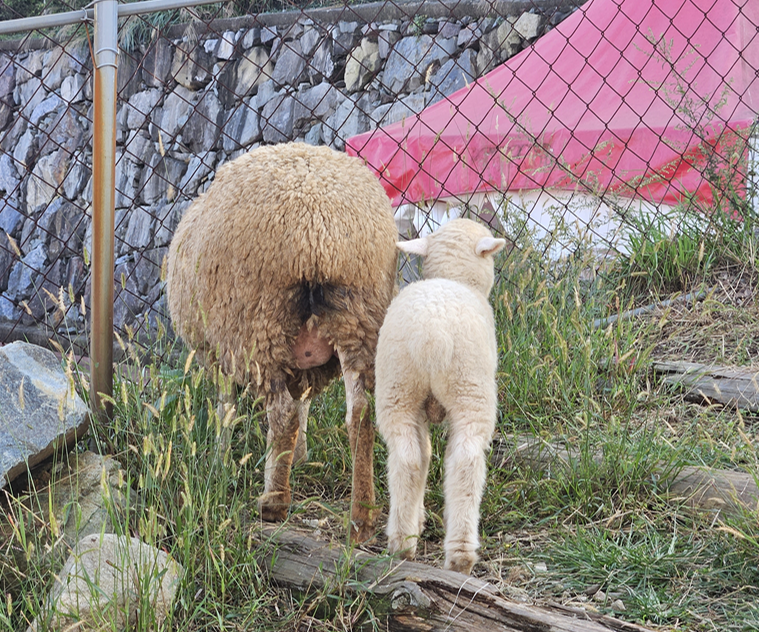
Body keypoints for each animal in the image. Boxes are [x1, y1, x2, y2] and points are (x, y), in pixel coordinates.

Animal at [168, 143, 398, 544]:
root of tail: (319, 229)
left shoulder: (220, 351)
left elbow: (226, 408)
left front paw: (219, 461)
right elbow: (304, 401)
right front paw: (301, 456)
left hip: (258, 323)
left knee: (282, 413)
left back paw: (273, 503)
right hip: (358, 317)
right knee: (360, 413)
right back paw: (362, 518)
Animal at [374, 216, 504, 572]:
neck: (453, 277)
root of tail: (431, 336)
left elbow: (425, 452)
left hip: (398, 388)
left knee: (407, 458)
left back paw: (402, 543)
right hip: (471, 390)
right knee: (465, 462)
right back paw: (460, 555)